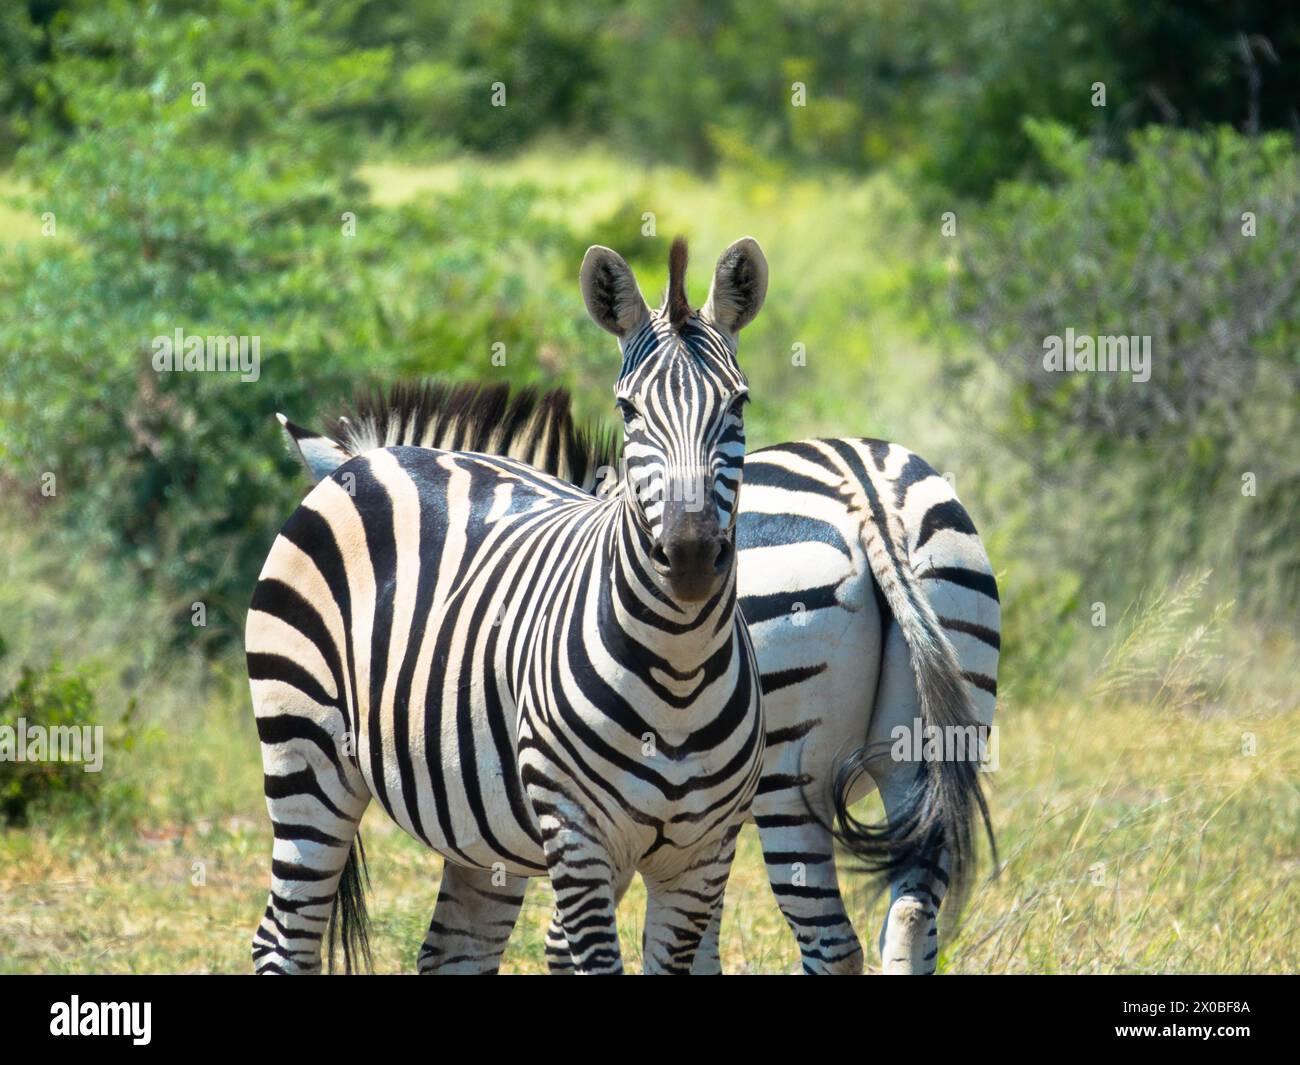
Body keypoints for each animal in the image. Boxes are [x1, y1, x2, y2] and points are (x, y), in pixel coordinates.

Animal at [247, 236, 771, 974]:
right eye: (629, 411)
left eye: (739, 404)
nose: (692, 554)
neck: (679, 668)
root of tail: (373, 459)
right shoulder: (578, 839)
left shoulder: (703, 855)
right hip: (304, 757)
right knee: (284, 937)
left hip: (477, 825)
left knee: (451, 952)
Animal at [281, 377, 999, 976]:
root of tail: (868, 493)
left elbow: (567, 946)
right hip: (930, 746)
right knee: (913, 919)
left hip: (789, 777)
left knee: (832, 943)